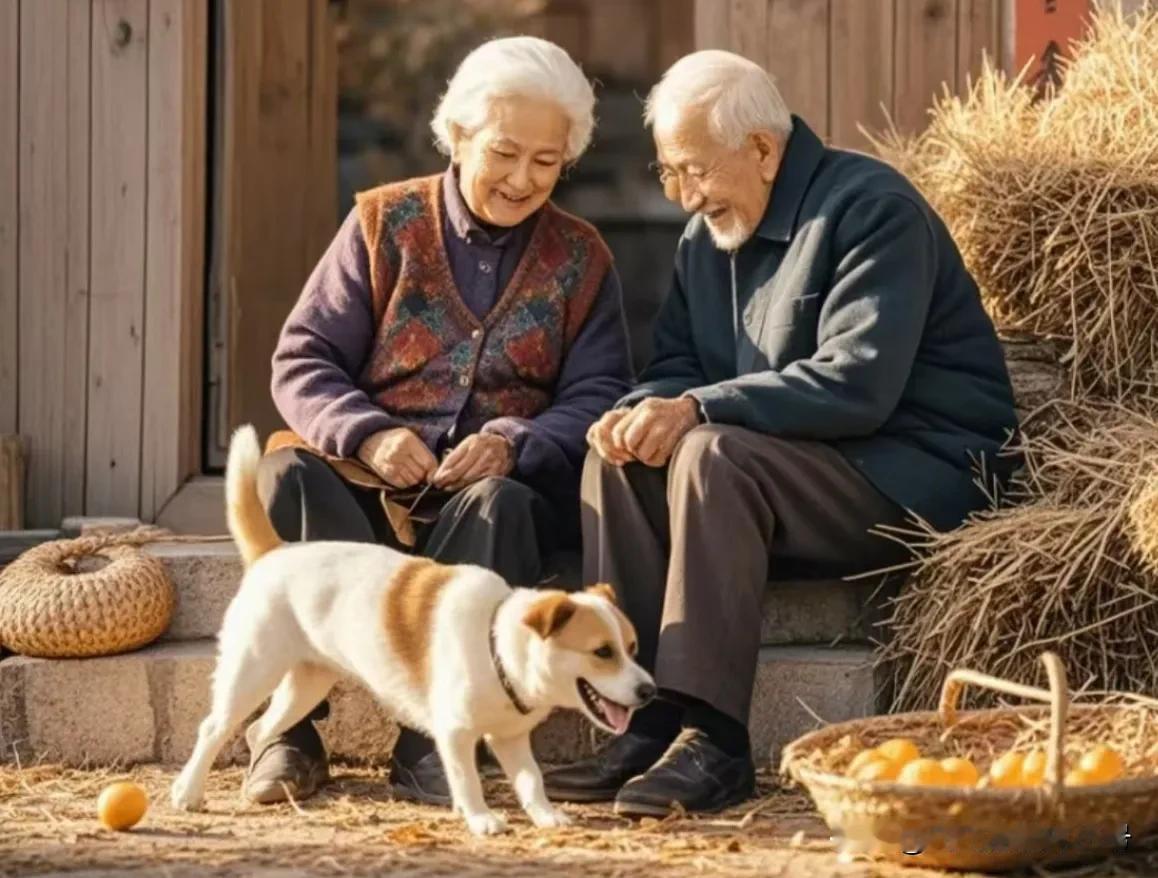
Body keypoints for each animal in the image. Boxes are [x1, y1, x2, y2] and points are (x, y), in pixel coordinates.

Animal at [173, 426, 662, 838]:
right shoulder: (456, 734)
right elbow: (466, 778)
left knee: (257, 730)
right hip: (253, 671)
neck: (495, 643)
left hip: (306, 684)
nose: (650, 692)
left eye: (633, 647)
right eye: (602, 652)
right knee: (213, 728)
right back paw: (189, 791)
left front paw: (545, 816)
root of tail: (274, 554)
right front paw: (481, 818)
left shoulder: (511, 738)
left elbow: (531, 779)